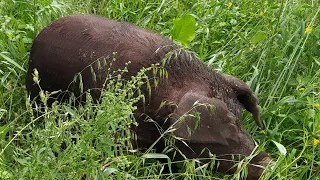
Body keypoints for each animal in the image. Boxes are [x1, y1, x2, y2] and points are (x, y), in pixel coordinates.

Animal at [26, 14, 270, 179]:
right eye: (229, 126)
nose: (270, 163)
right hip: (40, 96)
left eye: (241, 120)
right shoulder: (125, 134)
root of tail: (41, 33)